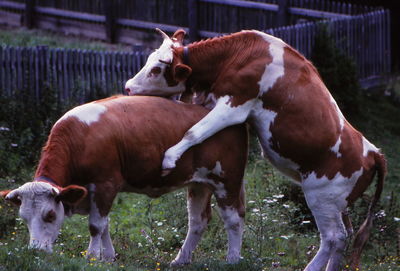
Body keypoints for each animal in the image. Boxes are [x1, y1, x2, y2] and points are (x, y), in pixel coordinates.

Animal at [1, 95, 248, 266]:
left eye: (50, 215)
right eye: (23, 218)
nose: (36, 251)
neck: (80, 139)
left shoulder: (105, 184)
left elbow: (95, 225)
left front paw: (91, 257)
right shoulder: (95, 193)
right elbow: (105, 224)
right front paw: (108, 257)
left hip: (227, 181)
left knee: (233, 219)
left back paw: (232, 259)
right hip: (199, 184)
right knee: (198, 221)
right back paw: (181, 260)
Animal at [126, 29, 388, 271]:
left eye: (155, 70)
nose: (127, 88)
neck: (239, 55)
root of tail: (374, 152)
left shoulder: (234, 106)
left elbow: (194, 131)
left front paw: (170, 157)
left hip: (321, 196)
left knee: (333, 237)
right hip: (339, 203)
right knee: (346, 235)